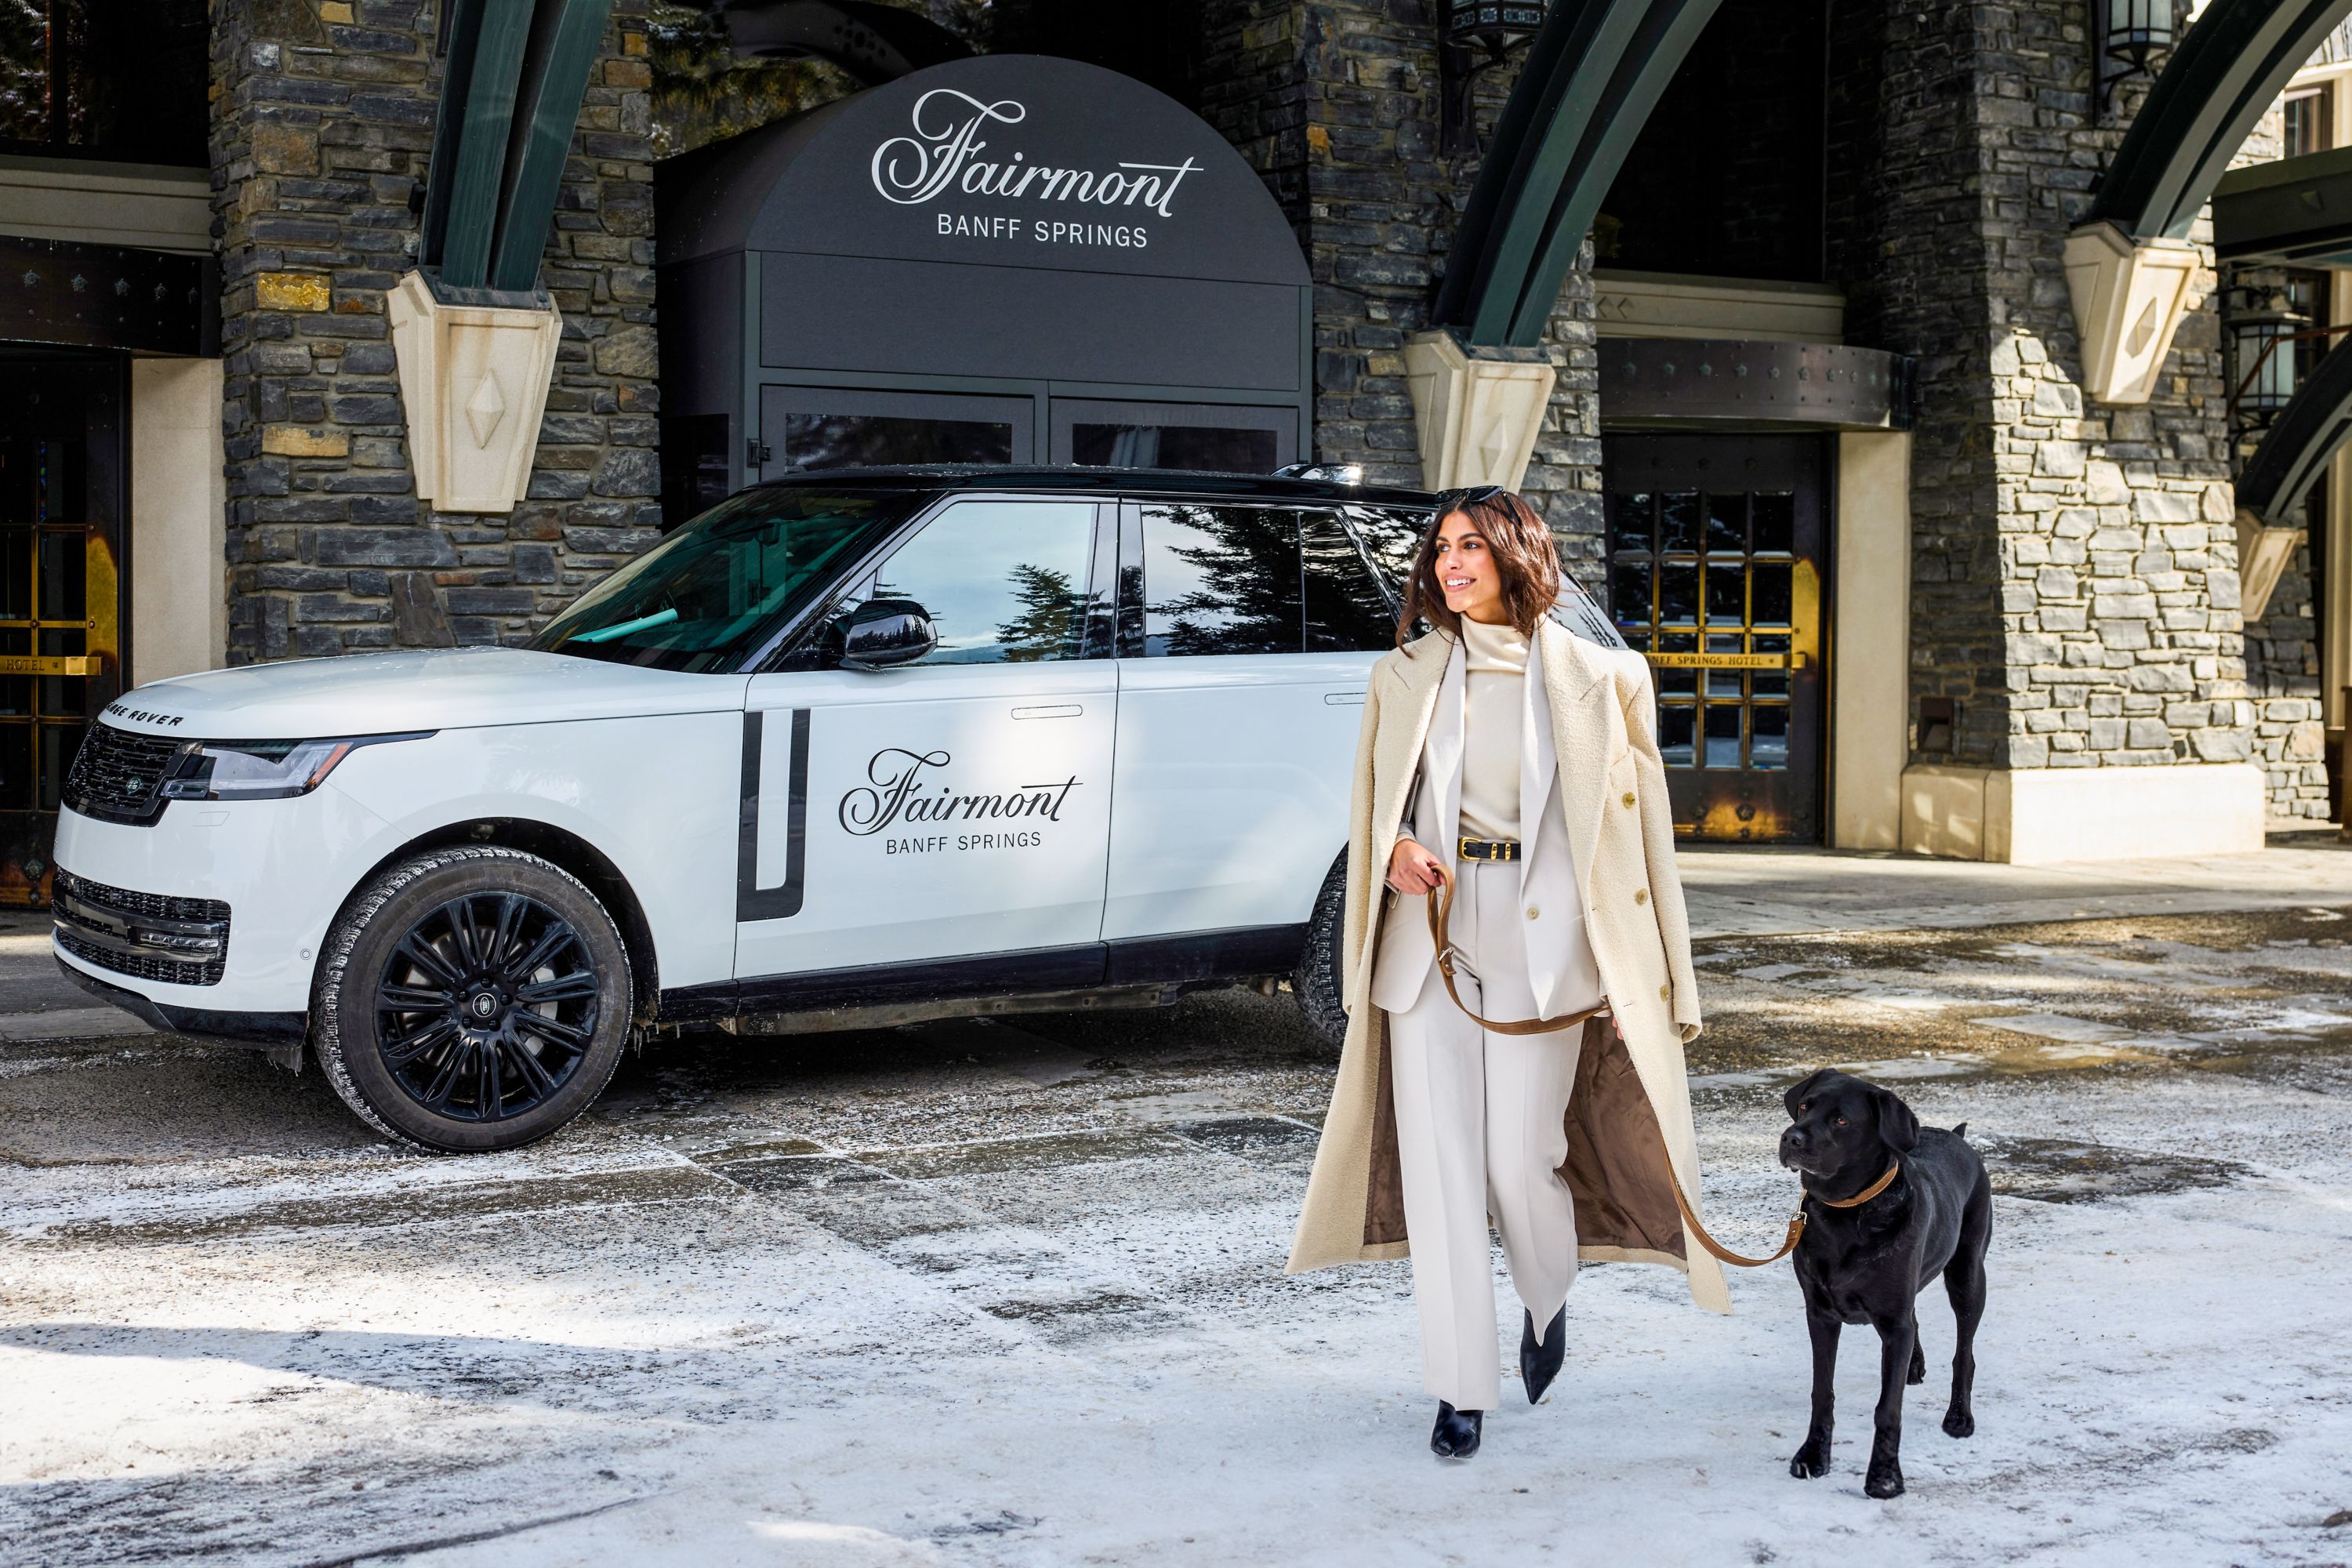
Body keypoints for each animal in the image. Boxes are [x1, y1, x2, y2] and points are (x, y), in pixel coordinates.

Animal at [1777, 1068, 1992, 1499]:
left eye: (1842, 1121)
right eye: (1805, 1106)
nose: (1791, 1138)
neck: (1846, 1213)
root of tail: (1957, 1137)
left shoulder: (1893, 1321)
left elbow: (1888, 1408)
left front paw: (1885, 1477)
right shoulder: (1820, 1313)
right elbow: (1822, 1392)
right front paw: (1813, 1456)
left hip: (1968, 1273)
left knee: (1964, 1352)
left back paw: (1959, 1416)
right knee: (1917, 1316)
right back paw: (1915, 1364)